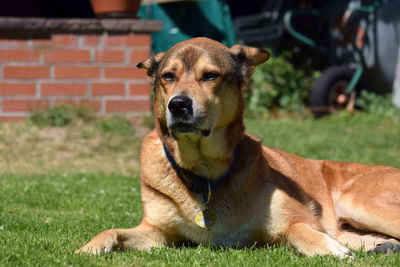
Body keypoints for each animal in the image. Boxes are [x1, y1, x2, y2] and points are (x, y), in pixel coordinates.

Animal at [76, 37, 400, 260]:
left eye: (210, 76)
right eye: (168, 76)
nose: (178, 105)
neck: (204, 173)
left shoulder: (301, 218)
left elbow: (298, 228)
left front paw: (328, 248)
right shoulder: (157, 234)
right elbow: (112, 231)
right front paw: (87, 249)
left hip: (358, 202)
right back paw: (382, 246)